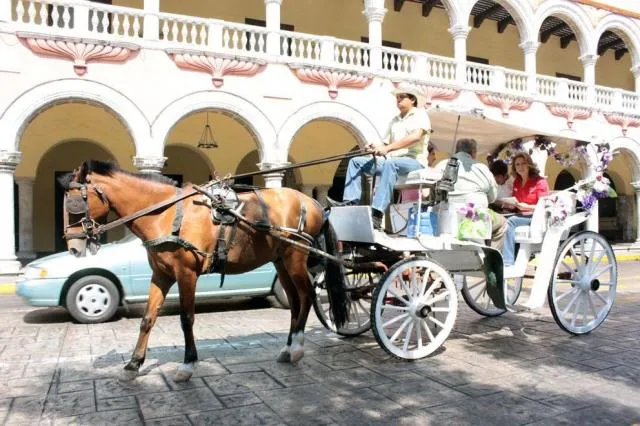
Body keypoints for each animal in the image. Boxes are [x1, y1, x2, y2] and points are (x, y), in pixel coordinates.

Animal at [61, 161, 344, 382]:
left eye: (74, 203)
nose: (73, 247)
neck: (167, 214)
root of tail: (313, 203)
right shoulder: (161, 275)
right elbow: (147, 319)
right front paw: (133, 364)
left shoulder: (186, 274)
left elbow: (187, 319)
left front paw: (188, 364)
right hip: (280, 260)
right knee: (295, 301)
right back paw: (288, 347)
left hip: (295, 257)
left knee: (307, 296)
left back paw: (297, 348)